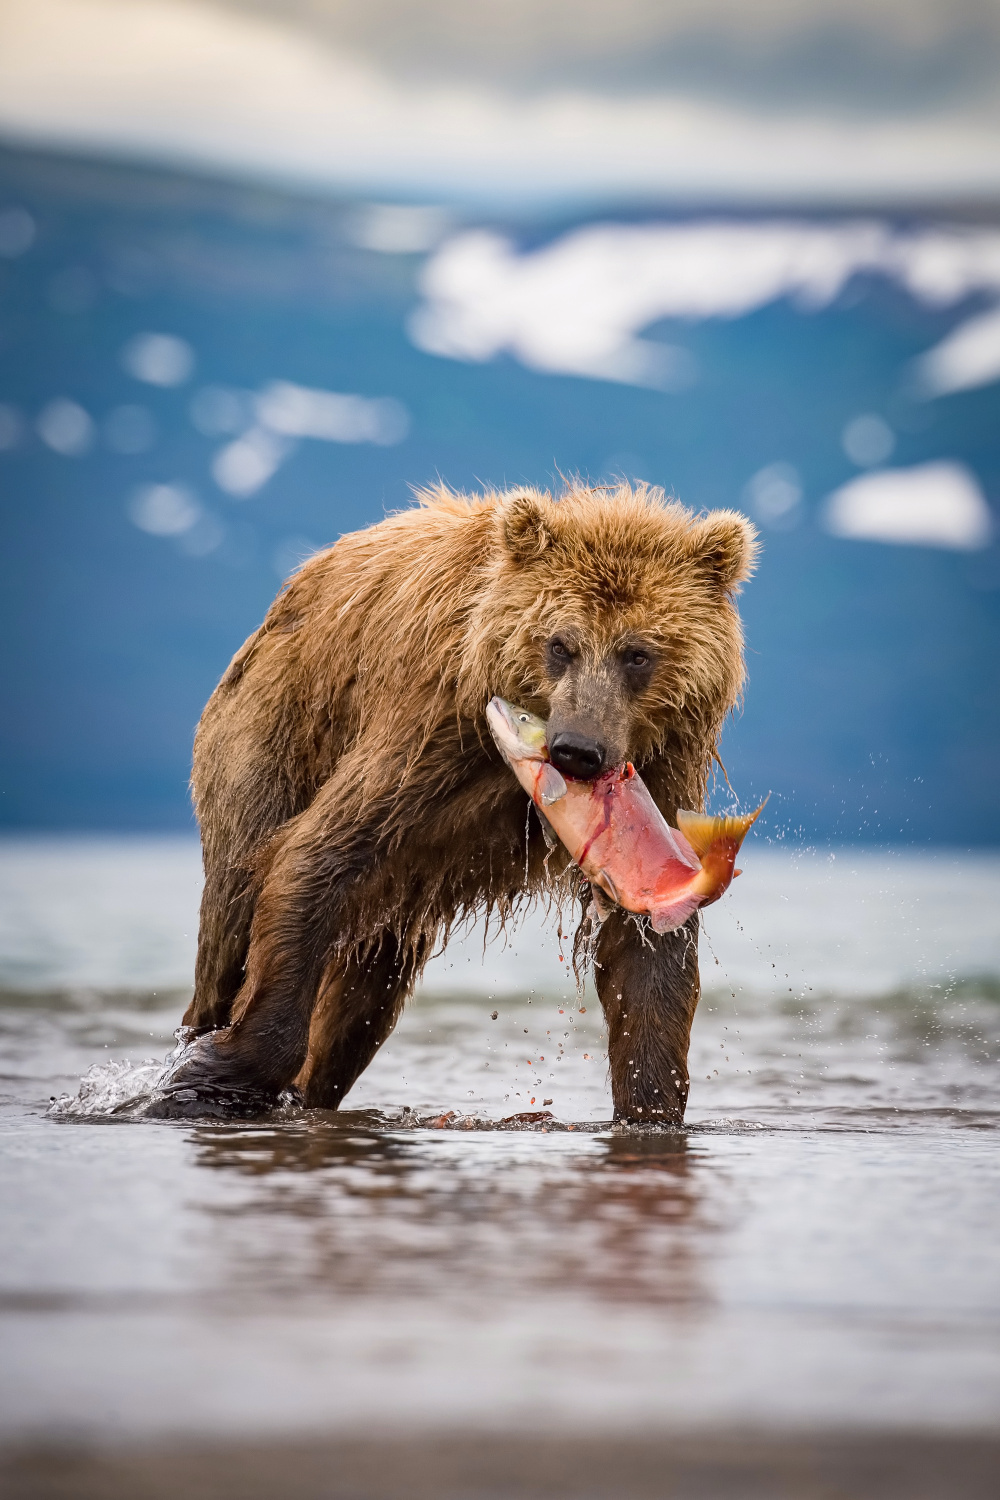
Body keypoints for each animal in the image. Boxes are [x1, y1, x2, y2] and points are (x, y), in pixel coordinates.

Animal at [152, 483, 755, 1128]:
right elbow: (317, 857)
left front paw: (650, 1104)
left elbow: (645, 949)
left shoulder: (661, 783)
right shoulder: (430, 734)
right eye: (560, 644)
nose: (578, 750)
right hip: (272, 734)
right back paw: (202, 1032)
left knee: (366, 997)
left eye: (637, 653)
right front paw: (207, 1076)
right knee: (233, 914)